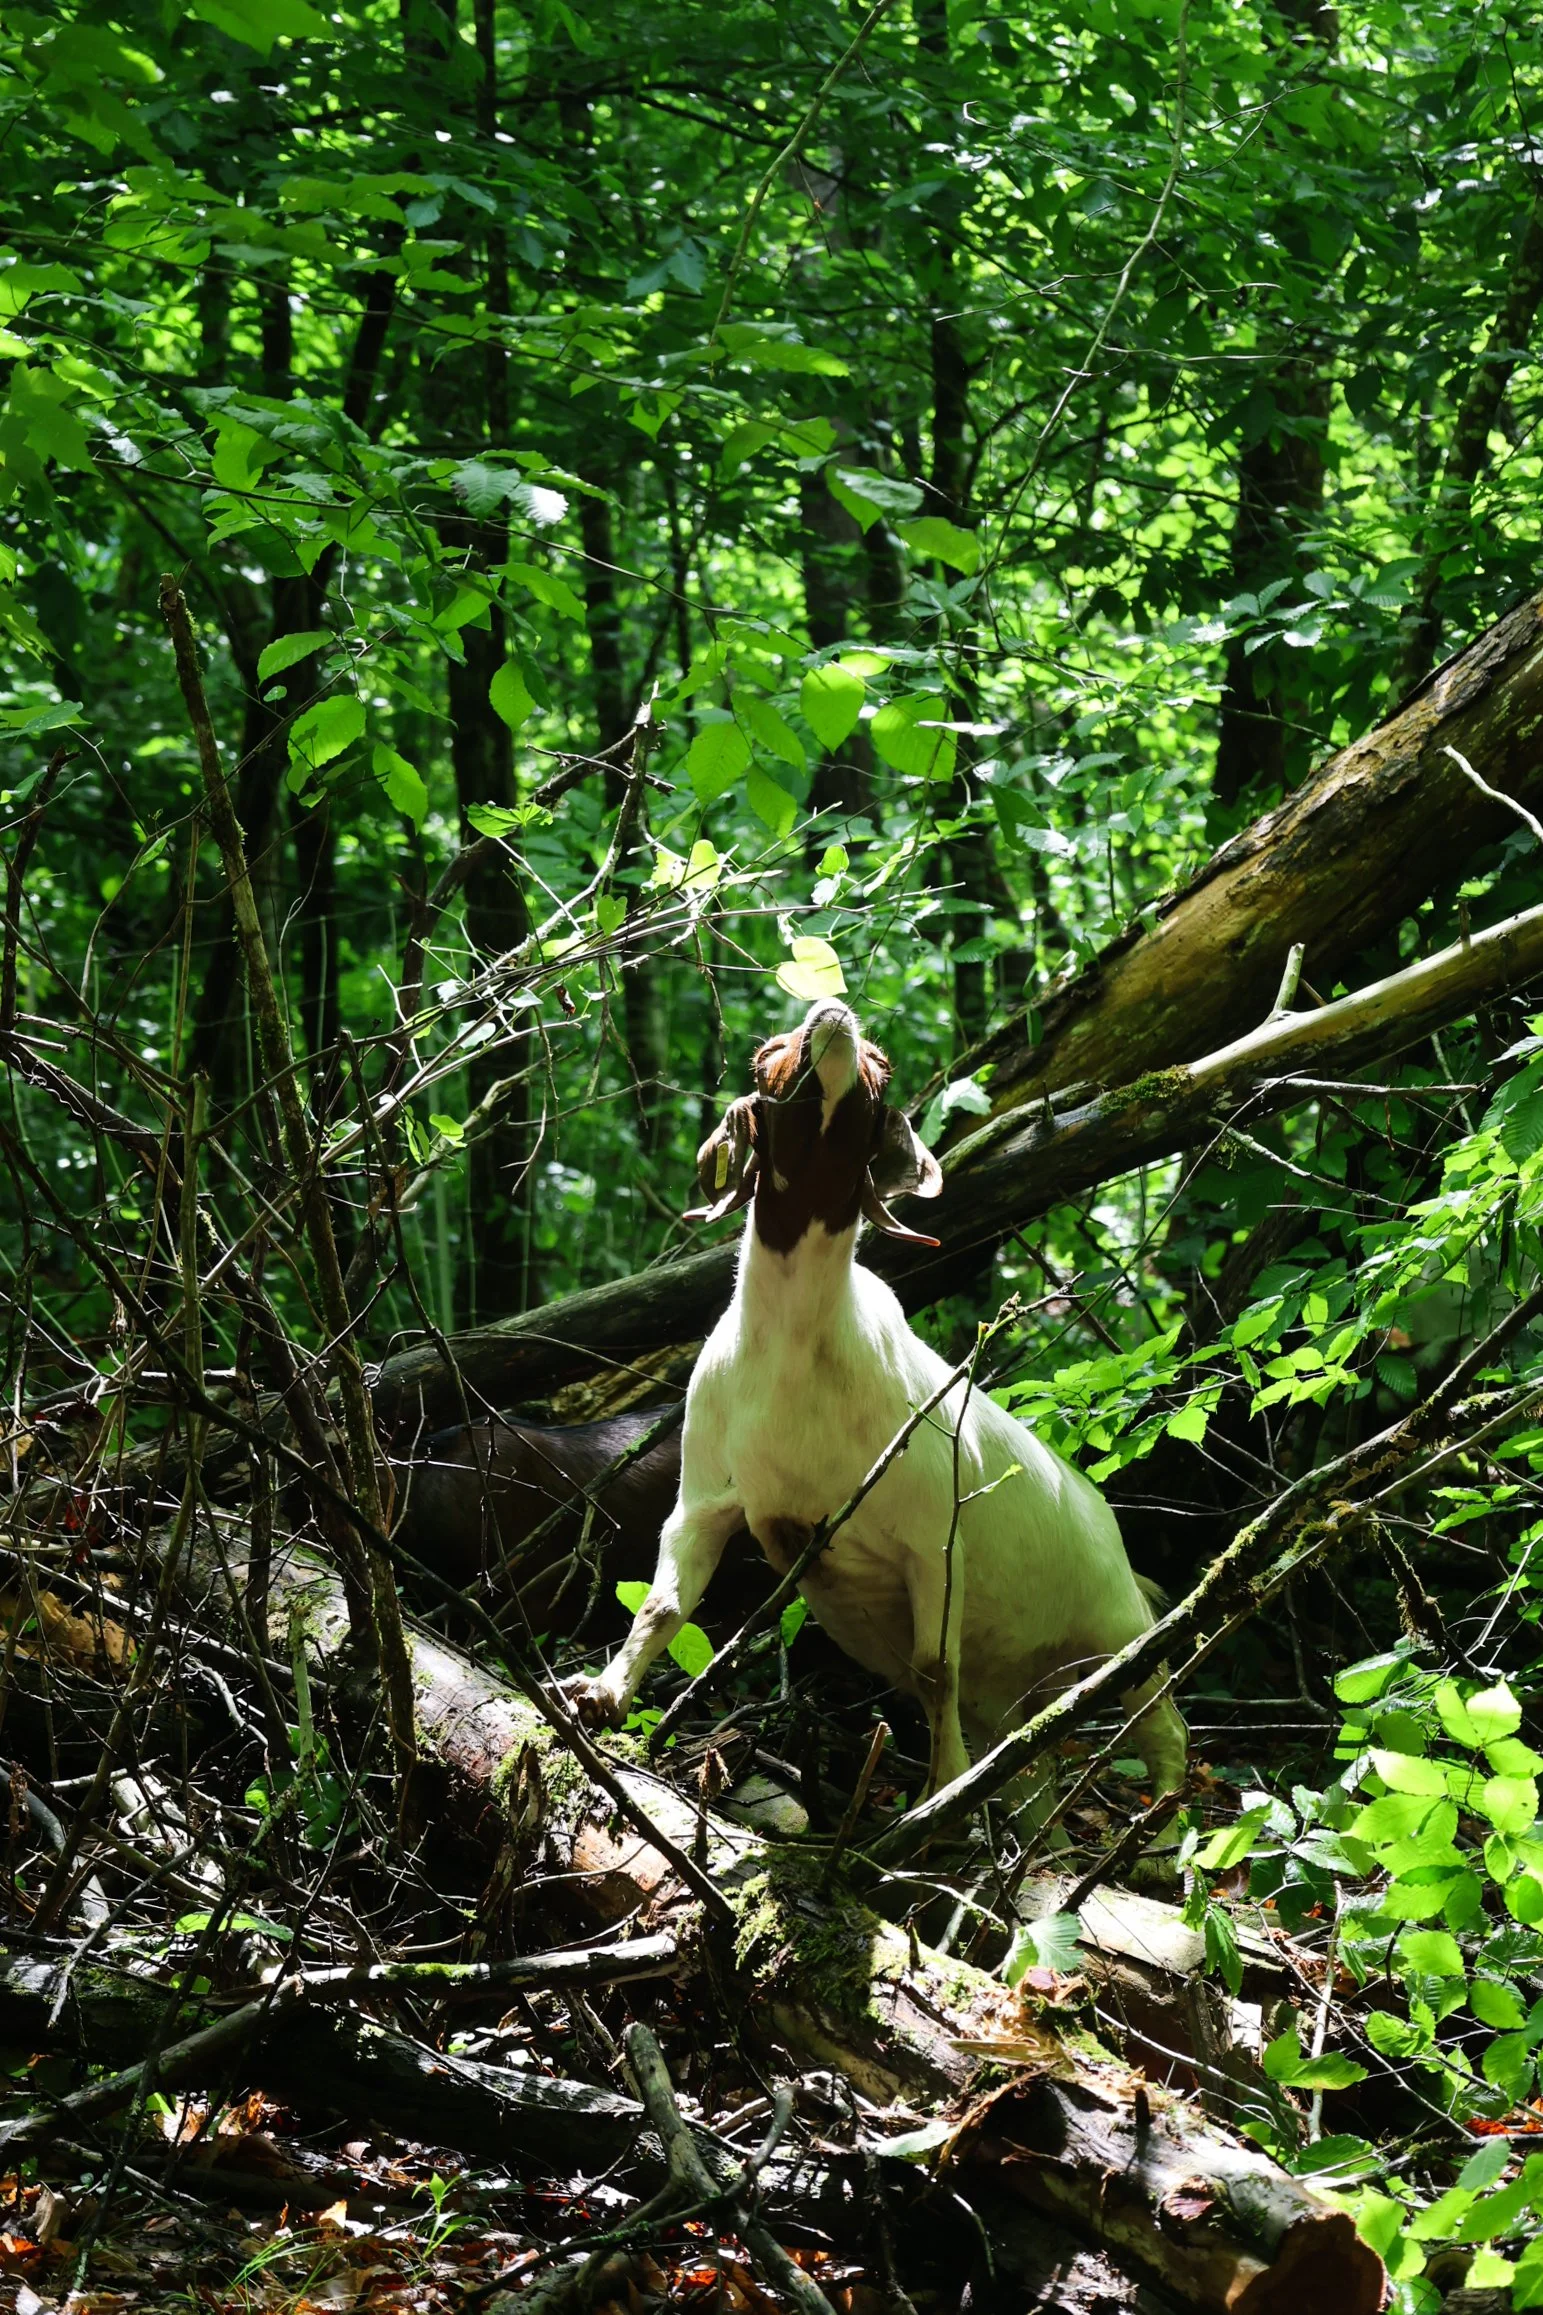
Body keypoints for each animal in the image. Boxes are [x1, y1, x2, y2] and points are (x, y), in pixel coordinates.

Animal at [568, 999, 1186, 1802]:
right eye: (766, 1054)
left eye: (880, 1066)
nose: (831, 1012)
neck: (799, 1352)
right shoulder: (705, 1498)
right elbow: (662, 1602)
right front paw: (602, 1695)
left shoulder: (935, 1539)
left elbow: (934, 1667)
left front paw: (938, 1788)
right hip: (1012, 1697)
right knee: (1027, 1766)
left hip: (1118, 1627)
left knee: (1164, 1728)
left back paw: (1163, 1821)